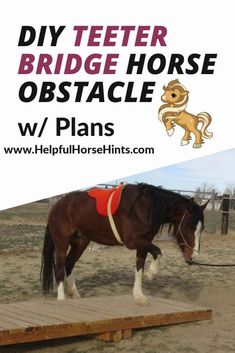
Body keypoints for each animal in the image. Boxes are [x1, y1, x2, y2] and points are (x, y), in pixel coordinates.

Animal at [41, 183, 208, 304]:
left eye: (202, 228)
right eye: (190, 226)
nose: (193, 258)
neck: (144, 208)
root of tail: (57, 205)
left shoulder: (143, 244)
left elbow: (140, 267)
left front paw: (139, 295)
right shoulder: (133, 241)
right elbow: (158, 252)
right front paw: (150, 275)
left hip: (80, 243)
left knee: (69, 264)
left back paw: (75, 294)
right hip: (61, 244)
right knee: (60, 268)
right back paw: (62, 299)